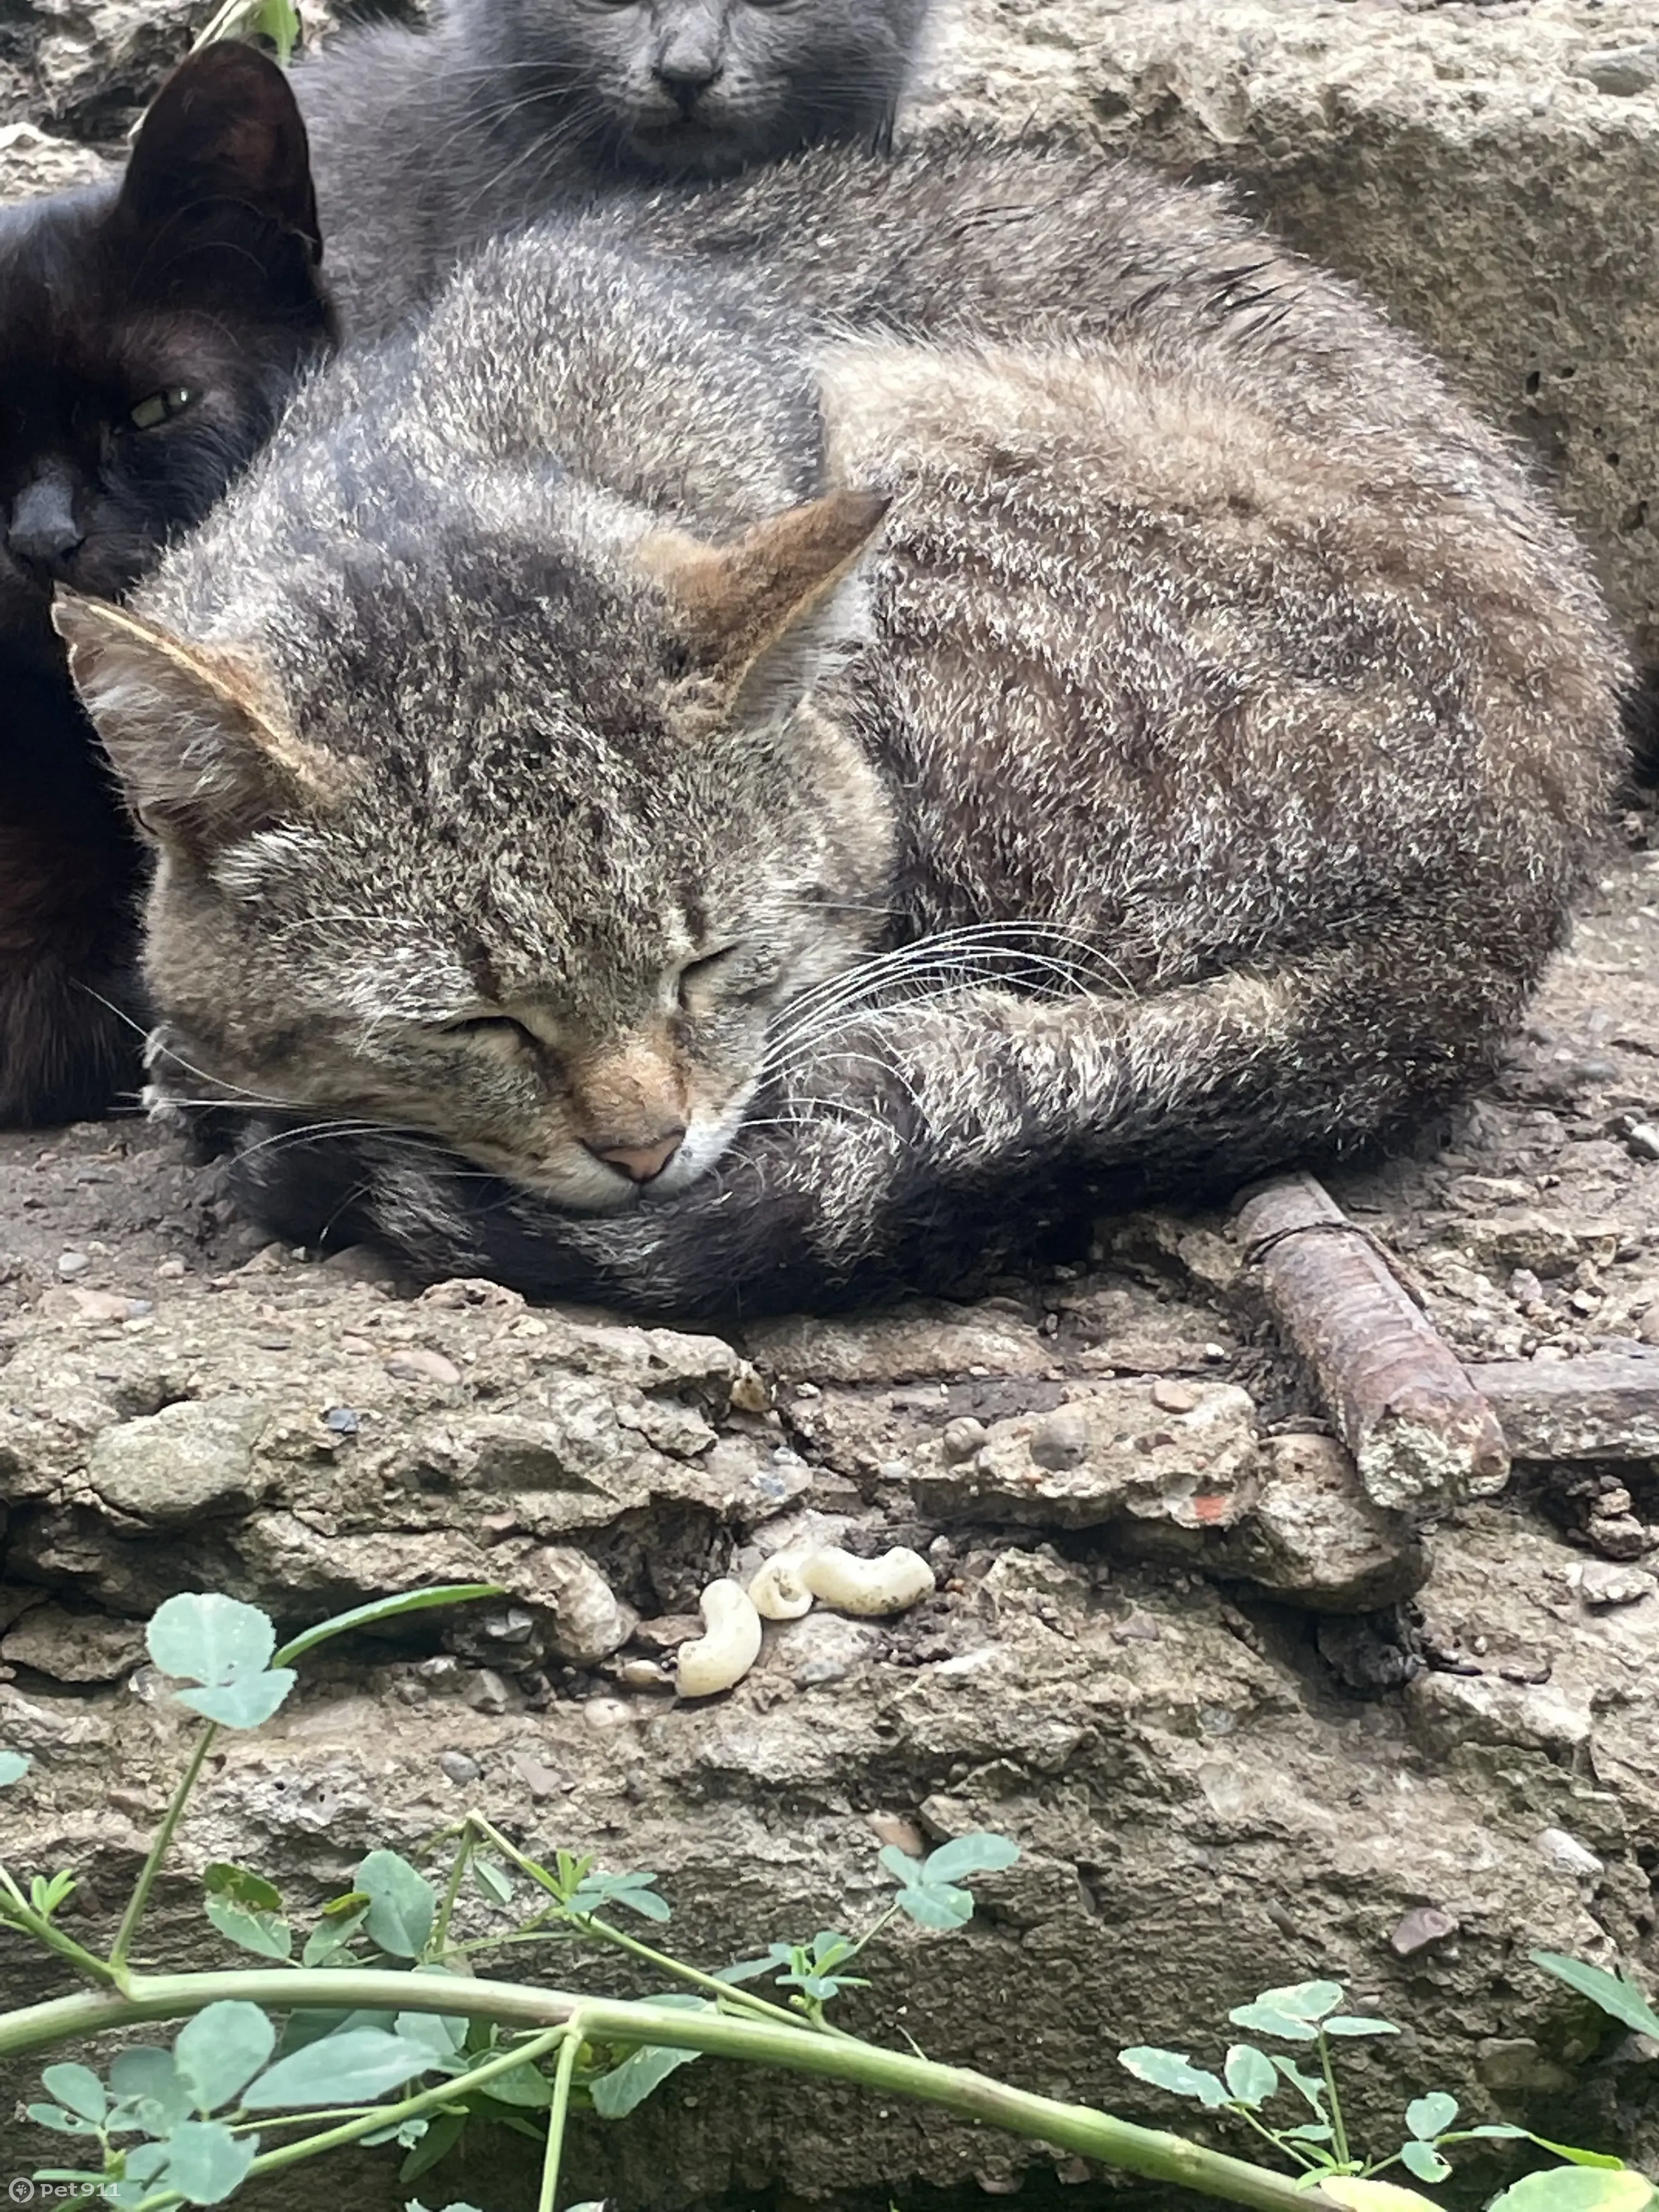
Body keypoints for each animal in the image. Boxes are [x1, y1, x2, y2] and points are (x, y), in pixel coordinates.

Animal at [58, 163, 1628, 1318]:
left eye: (707, 964)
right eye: (473, 1026)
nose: (646, 1152)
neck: (427, 454)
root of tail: (1473, 938)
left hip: (906, 428)